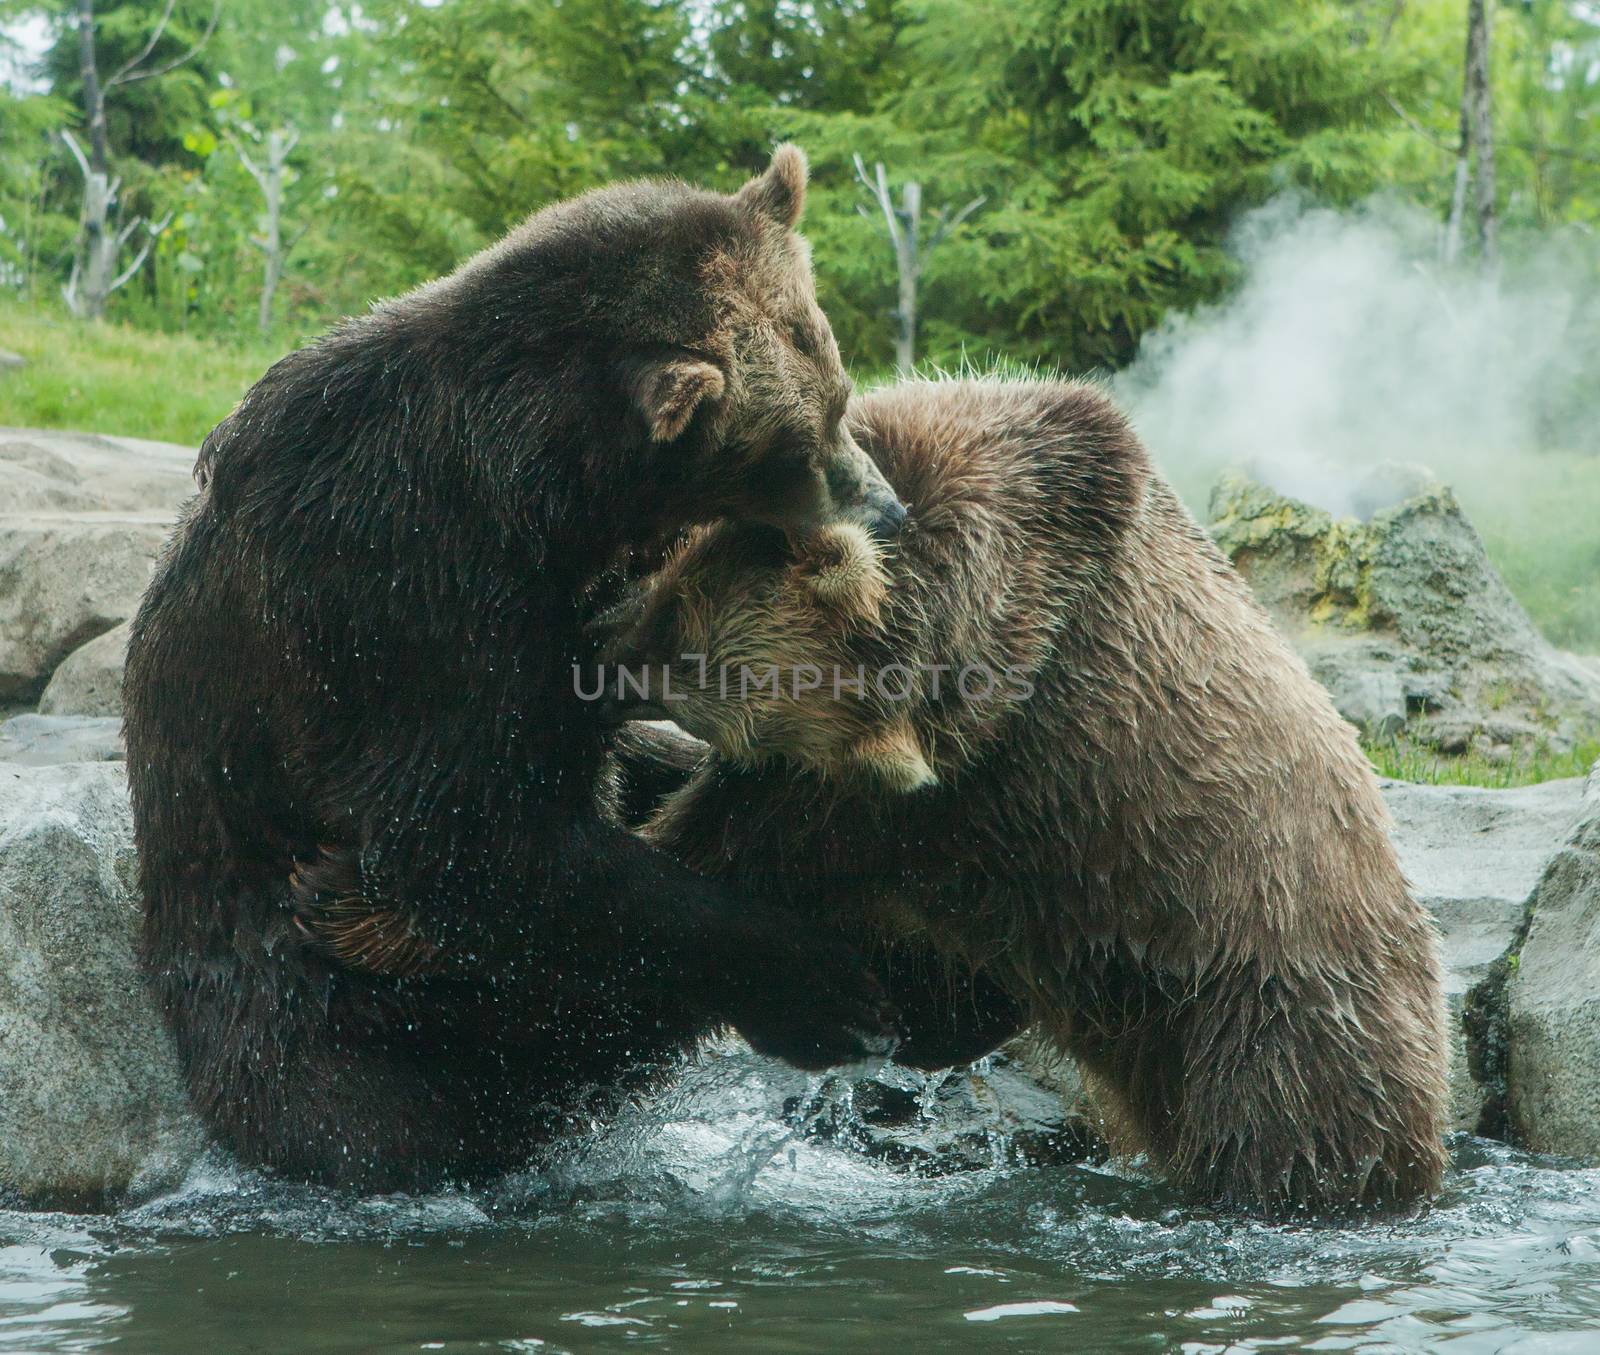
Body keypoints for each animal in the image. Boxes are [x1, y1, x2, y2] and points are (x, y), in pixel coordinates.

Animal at [121, 143, 915, 1190]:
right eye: (797, 442)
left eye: (839, 392)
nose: (890, 508)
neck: (550, 485)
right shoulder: (414, 586)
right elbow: (464, 834)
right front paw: (819, 979)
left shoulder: (584, 594)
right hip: (300, 1020)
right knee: (393, 1088)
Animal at [598, 375, 1452, 1215]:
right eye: (664, 600)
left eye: (679, 647)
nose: (606, 661)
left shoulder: (953, 780)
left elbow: (735, 848)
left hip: (1268, 995)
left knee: (1286, 1125)